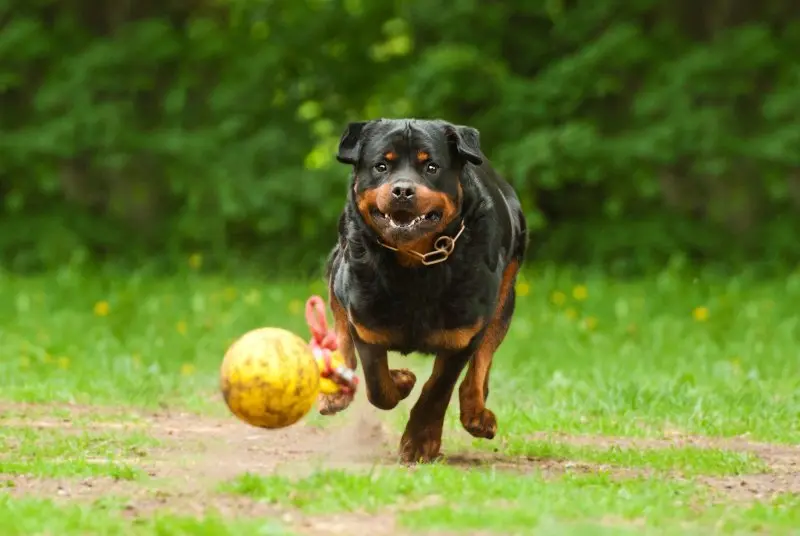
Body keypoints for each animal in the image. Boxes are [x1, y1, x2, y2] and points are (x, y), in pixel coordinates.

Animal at [322, 118, 528, 464]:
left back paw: (476, 414)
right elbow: (378, 387)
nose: (403, 190)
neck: (414, 263)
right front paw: (402, 381)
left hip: (505, 295)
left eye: (431, 166)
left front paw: (420, 443)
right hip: (339, 266)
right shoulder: (365, 324)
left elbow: (438, 389)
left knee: (482, 362)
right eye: (381, 166)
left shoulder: (462, 335)